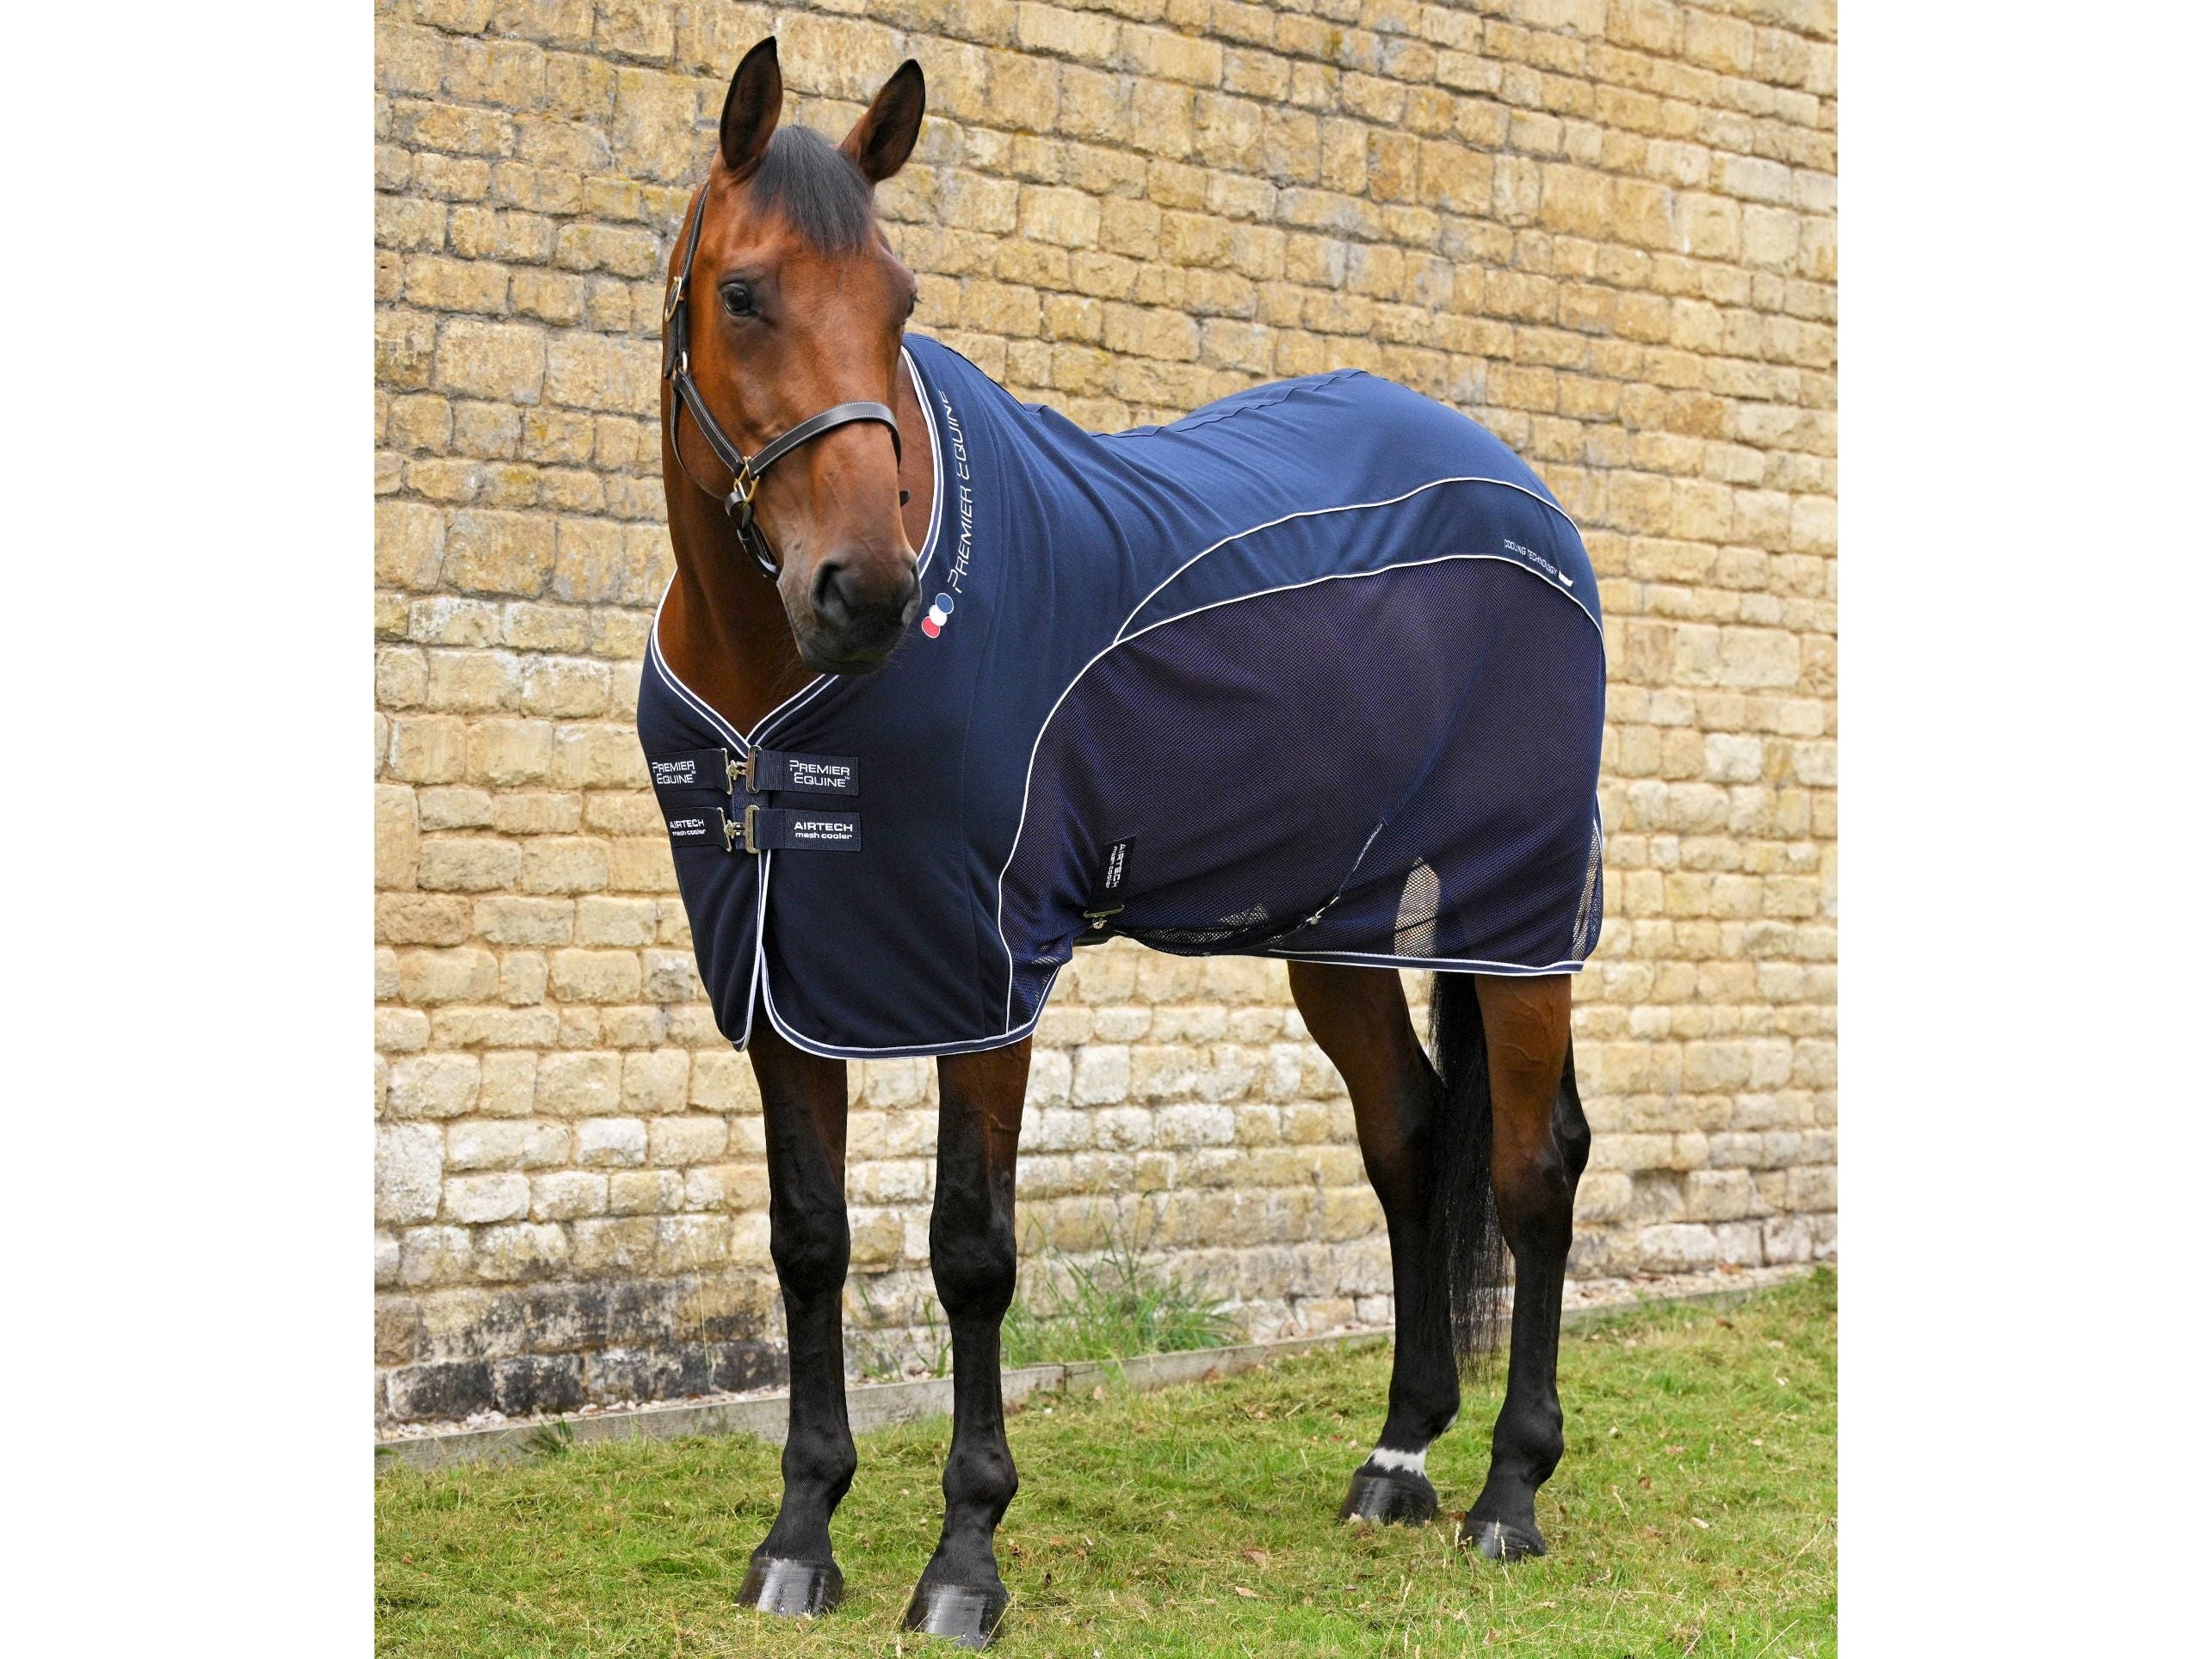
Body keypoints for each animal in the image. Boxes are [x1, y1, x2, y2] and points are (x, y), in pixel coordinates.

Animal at [642, 38, 1602, 1647]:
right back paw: (1398, 1457)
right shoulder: (784, 972)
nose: (867, 591)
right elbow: (809, 1237)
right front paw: (799, 1534)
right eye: (747, 293)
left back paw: (1508, 1492)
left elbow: (971, 1250)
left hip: (1520, 917)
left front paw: (964, 1558)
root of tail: (1517, 486)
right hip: (1335, 927)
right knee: (1410, 1139)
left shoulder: (982, 972)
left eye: (899, 303)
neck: (781, 692)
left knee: (1535, 1166)